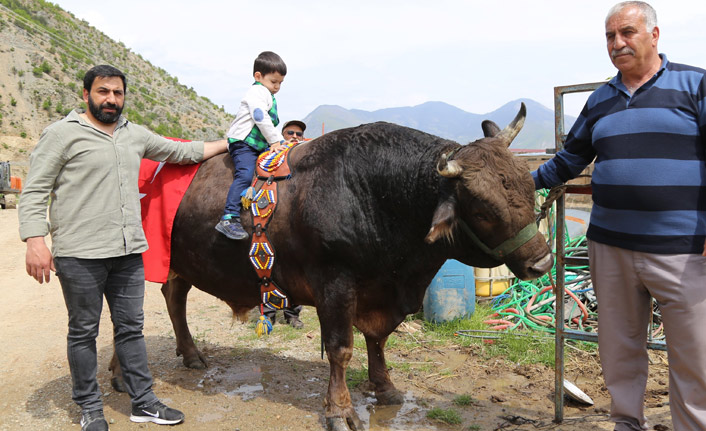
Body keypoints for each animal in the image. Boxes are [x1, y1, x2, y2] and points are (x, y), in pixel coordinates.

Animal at [110, 103, 552, 430]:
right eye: (482, 210)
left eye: (528, 184)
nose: (543, 261)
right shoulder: (335, 285)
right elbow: (341, 349)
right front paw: (340, 410)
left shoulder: (379, 290)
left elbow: (378, 340)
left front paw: (384, 387)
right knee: (126, 314)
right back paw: (120, 374)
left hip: (183, 264)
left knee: (173, 296)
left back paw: (189, 353)